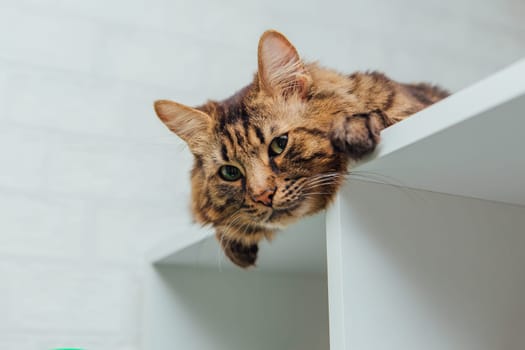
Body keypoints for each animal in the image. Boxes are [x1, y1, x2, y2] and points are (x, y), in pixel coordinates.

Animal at [152, 29, 446, 268]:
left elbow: (380, 114)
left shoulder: (413, 109)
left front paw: (353, 127)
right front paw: (235, 240)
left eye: (279, 145)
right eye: (230, 173)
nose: (263, 195)